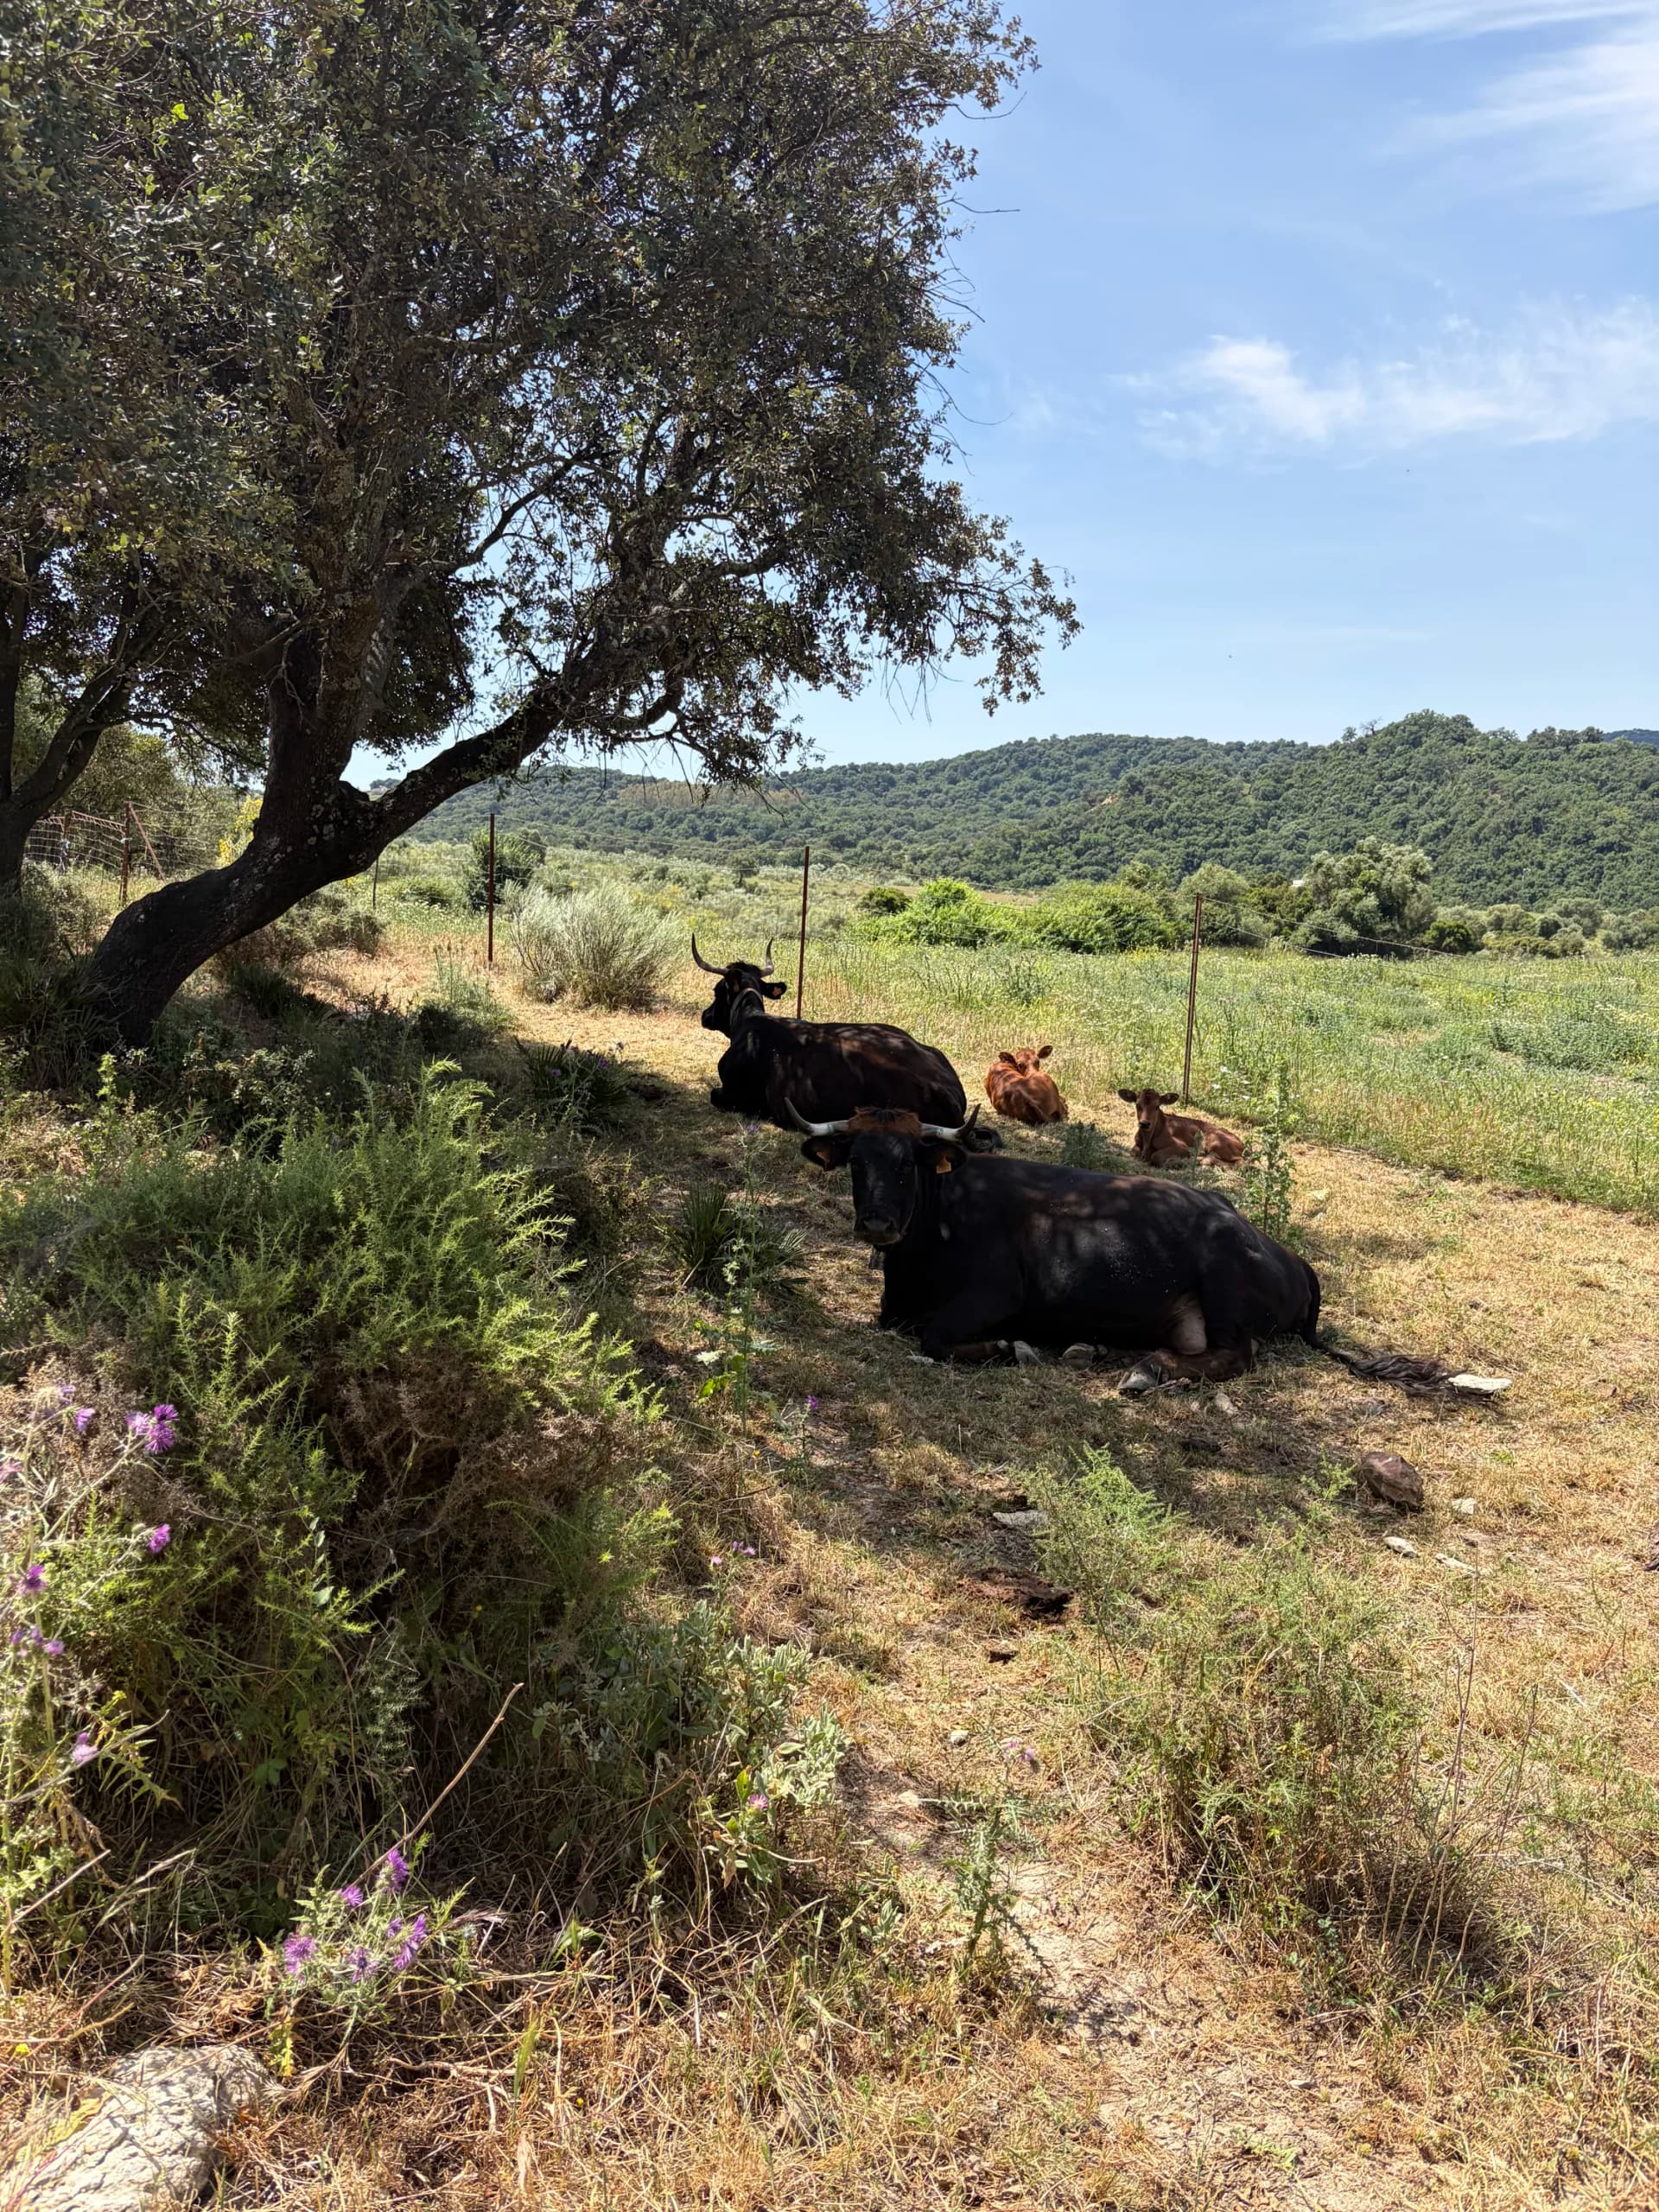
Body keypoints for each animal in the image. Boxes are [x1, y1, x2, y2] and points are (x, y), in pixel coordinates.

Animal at [789, 1101, 1318, 1391]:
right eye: (856, 1162)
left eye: (906, 1164)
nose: (876, 1223)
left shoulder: (997, 1294)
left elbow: (934, 1337)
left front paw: (1009, 1347)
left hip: (1225, 1288)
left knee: (1235, 1356)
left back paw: (1146, 1369)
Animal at [1119, 1088, 1244, 1168]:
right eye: (1137, 1105)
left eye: (1157, 1106)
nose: (1144, 1123)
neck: (1147, 1141)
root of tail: (1241, 1143)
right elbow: (1134, 1151)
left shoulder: (1183, 1147)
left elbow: (1156, 1156)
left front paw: (1177, 1163)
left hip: (1214, 1141)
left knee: (1241, 1163)